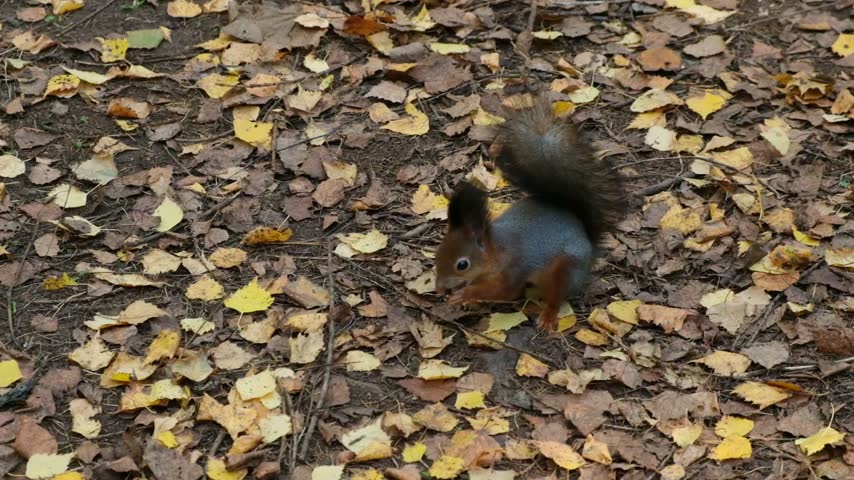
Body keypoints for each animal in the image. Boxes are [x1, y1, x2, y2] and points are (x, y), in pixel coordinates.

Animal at [435, 97, 626, 332]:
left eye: (462, 265)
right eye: (437, 253)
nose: (439, 288)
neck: (497, 251)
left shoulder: (513, 270)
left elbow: (505, 292)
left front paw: (464, 294)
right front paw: (467, 298)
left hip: (566, 270)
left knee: (557, 296)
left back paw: (548, 316)